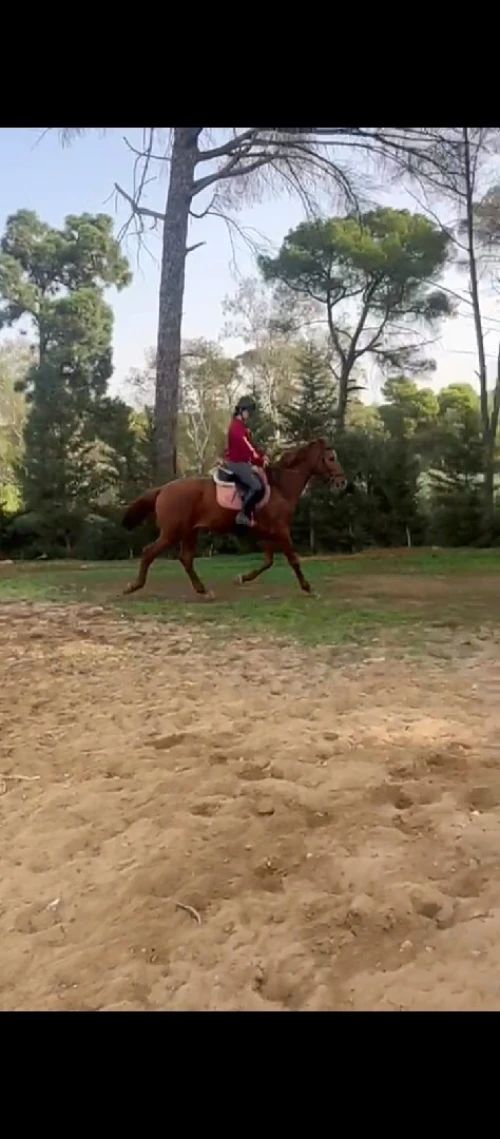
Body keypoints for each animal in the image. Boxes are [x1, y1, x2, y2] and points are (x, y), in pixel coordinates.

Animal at [121, 437, 347, 599]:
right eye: (331, 458)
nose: (342, 482)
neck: (280, 487)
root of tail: (163, 489)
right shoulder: (281, 530)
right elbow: (293, 560)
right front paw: (308, 588)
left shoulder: (266, 532)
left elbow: (268, 562)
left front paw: (242, 578)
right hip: (172, 533)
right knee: (149, 553)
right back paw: (133, 586)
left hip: (189, 532)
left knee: (186, 559)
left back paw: (203, 591)